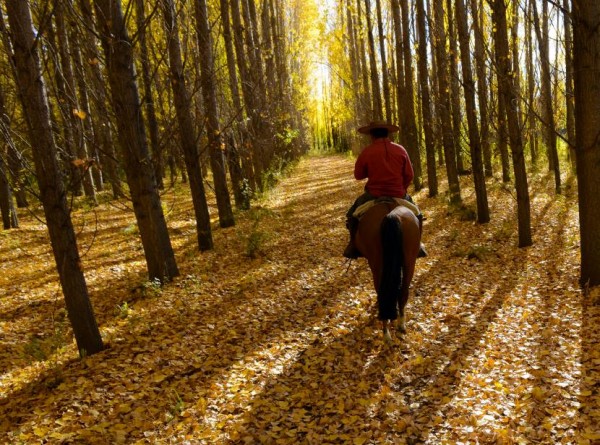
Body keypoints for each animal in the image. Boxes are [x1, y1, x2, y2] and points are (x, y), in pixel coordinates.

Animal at [354, 199, 420, 342]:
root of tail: (391, 214)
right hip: (410, 261)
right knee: (403, 292)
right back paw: (401, 325)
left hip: (377, 264)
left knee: (382, 293)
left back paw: (386, 335)